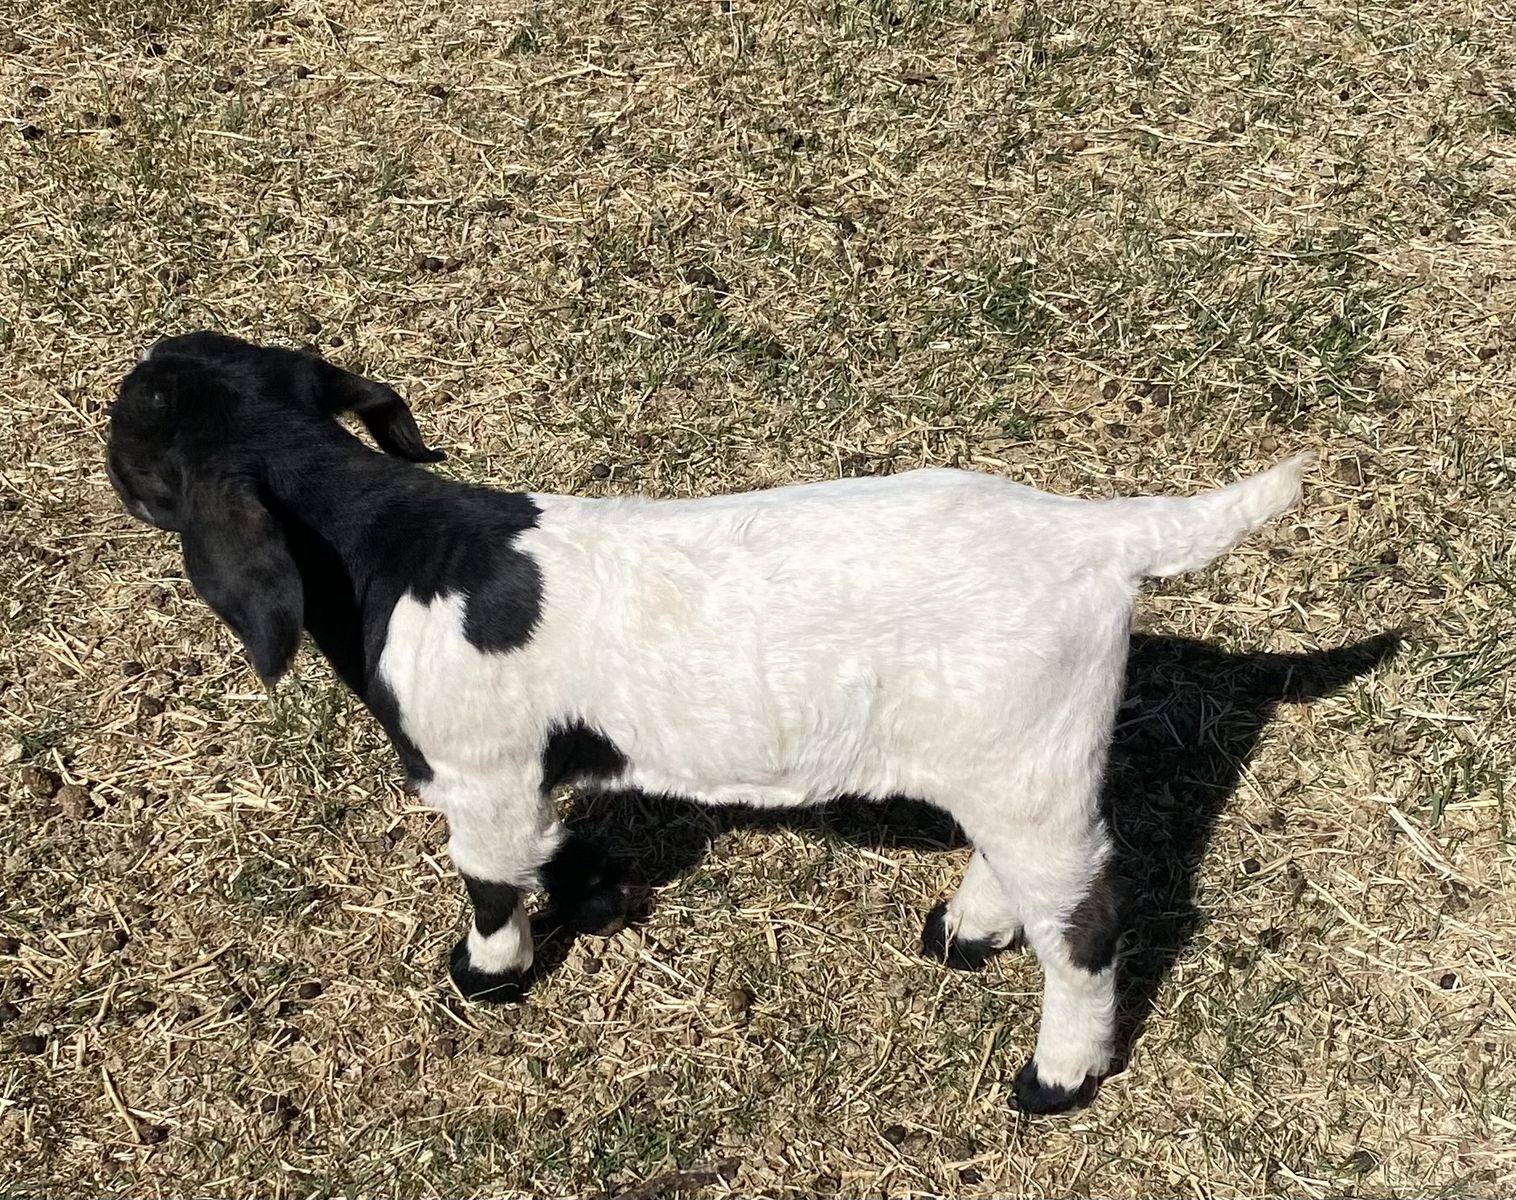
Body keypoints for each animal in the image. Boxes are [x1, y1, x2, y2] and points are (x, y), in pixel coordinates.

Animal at [106, 331, 1312, 1114]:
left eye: (132, 438)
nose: (102, 451)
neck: (395, 551)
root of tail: (1094, 537)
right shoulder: (530, 770)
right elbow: (554, 845)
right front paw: (595, 896)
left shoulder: (479, 766)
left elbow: (491, 875)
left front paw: (488, 975)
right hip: (1008, 749)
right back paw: (968, 929)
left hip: (1030, 742)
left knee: (1087, 917)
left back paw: (1057, 1075)